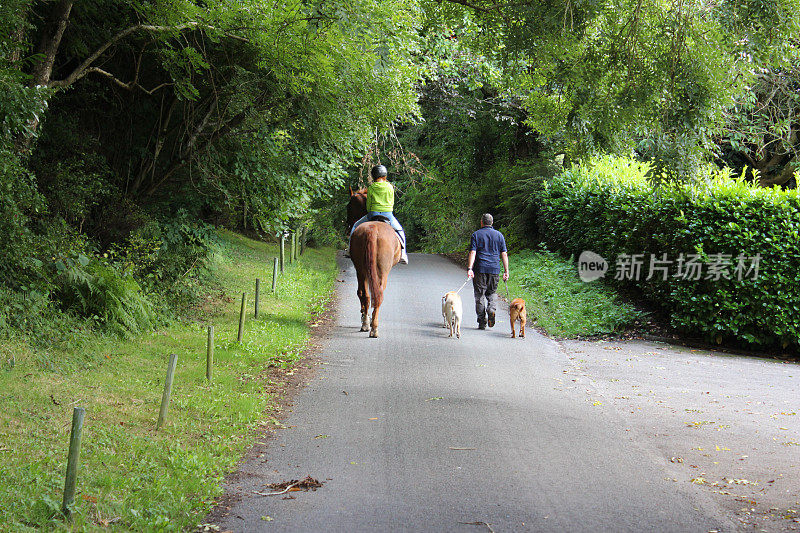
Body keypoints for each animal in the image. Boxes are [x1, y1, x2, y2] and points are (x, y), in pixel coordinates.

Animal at [346, 187, 404, 336]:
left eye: (348, 206)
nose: (348, 224)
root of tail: (372, 229)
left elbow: (363, 293)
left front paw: (365, 315)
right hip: (381, 271)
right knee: (377, 295)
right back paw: (372, 326)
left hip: (362, 270)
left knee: (367, 295)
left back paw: (368, 324)